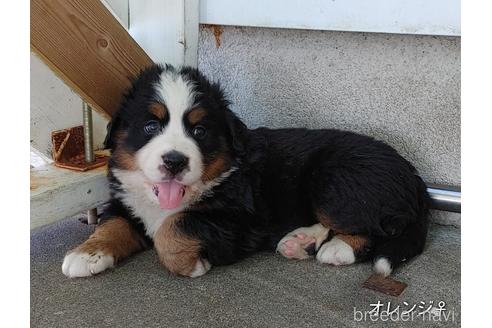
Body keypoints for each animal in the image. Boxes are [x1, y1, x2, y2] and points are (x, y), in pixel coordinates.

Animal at [61, 64, 428, 280]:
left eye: (200, 131)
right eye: (151, 125)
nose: (175, 161)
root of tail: (412, 174)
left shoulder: (239, 221)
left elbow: (173, 228)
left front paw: (191, 264)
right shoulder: (127, 203)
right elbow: (112, 224)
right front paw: (87, 253)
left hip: (334, 181)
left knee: (381, 228)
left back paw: (337, 249)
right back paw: (301, 241)